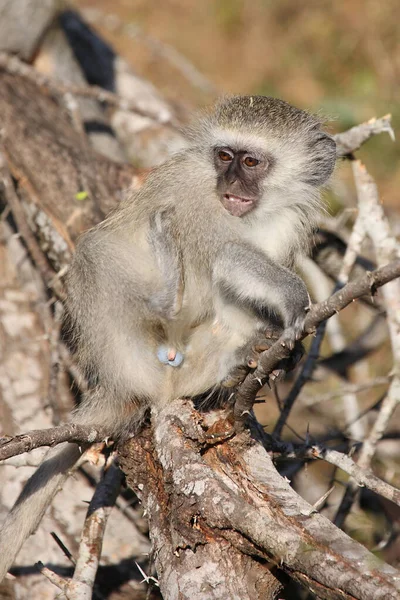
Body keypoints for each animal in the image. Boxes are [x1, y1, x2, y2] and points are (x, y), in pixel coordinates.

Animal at [0, 96, 338, 580]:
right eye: (224, 156)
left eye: (251, 162)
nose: (229, 183)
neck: (255, 214)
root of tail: (114, 383)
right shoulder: (200, 202)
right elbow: (226, 253)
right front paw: (295, 301)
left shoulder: (287, 221)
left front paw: (281, 349)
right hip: (122, 345)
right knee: (99, 253)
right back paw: (168, 297)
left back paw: (239, 361)